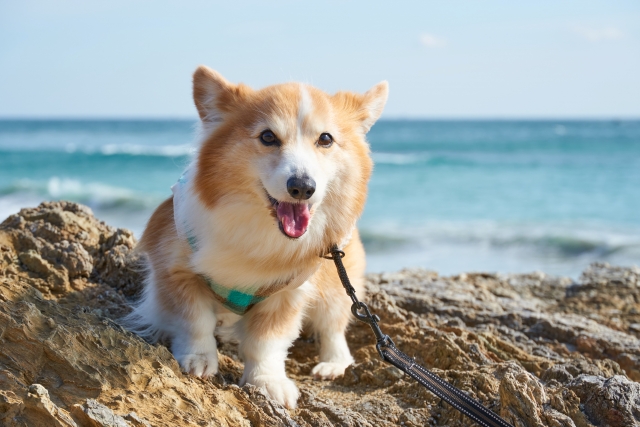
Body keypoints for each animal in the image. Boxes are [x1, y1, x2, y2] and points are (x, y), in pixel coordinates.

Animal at [125, 65, 384, 410]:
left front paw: (266, 382)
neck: (261, 235)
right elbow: (195, 321)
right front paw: (198, 358)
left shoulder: (288, 293)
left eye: (326, 139)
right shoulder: (175, 271)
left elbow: (266, 342)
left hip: (337, 283)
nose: (302, 187)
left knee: (333, 325)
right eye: (267, 137)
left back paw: (332, 364)